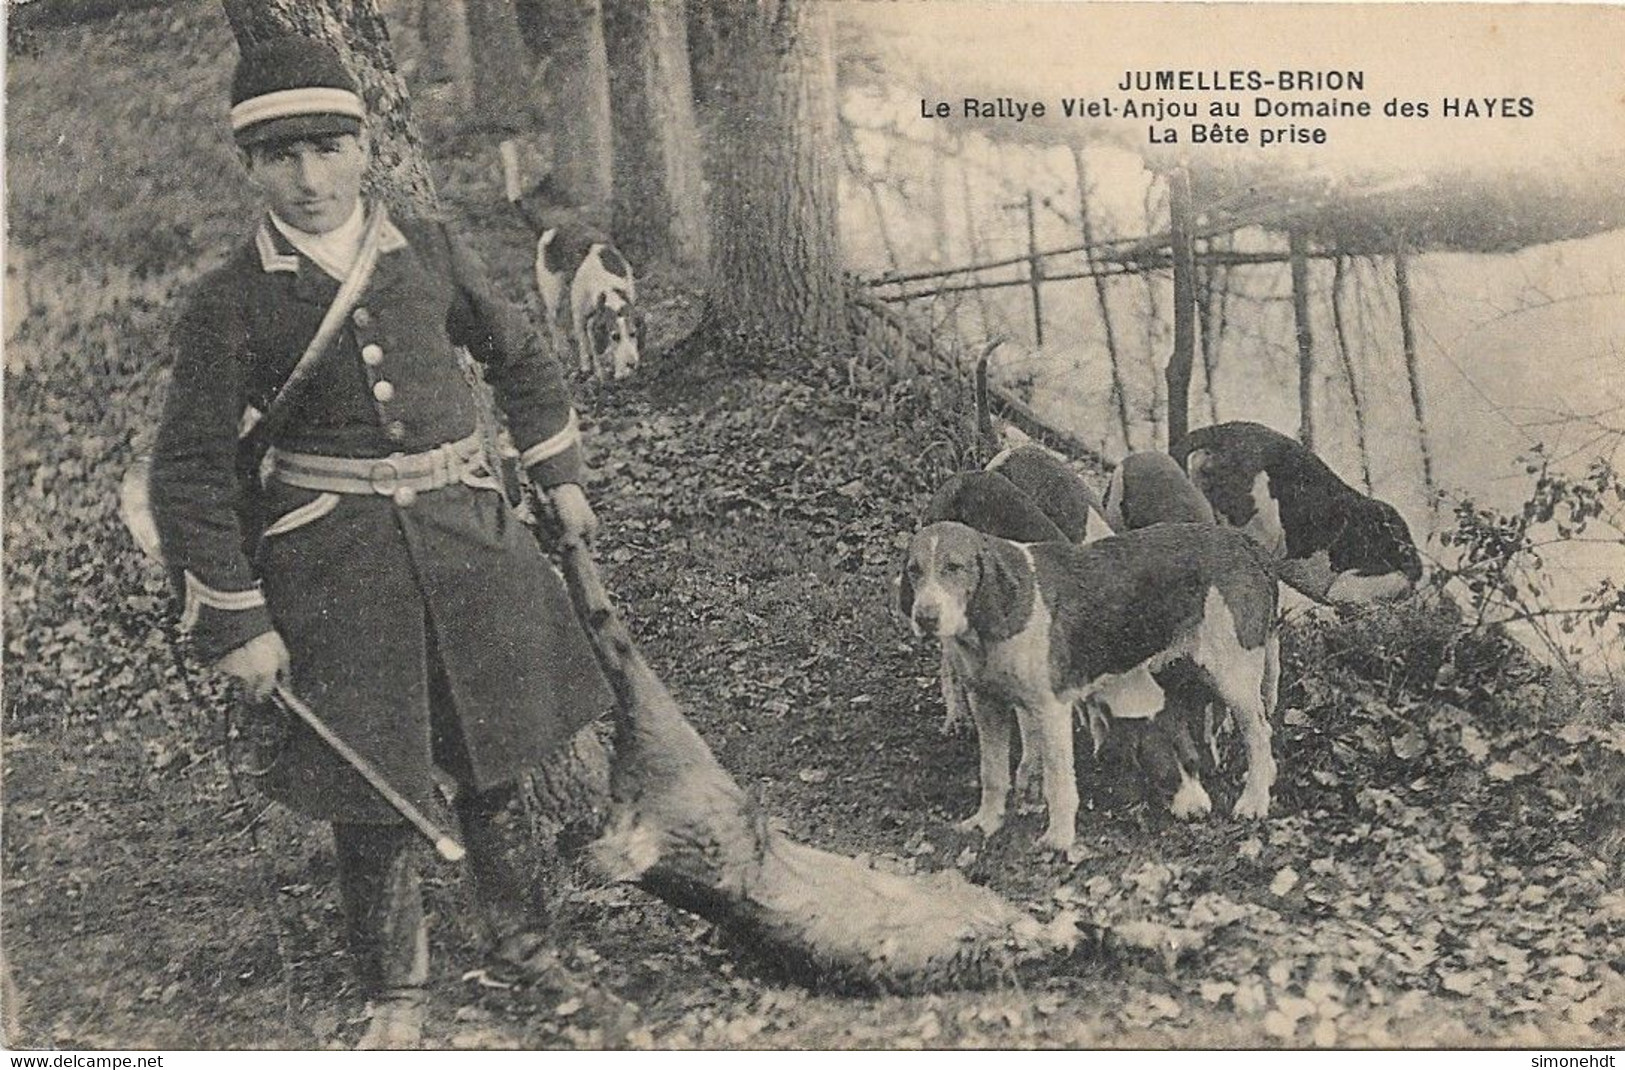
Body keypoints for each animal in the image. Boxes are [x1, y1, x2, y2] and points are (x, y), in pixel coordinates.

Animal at [536, 221, 643, 378]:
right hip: (554, 296)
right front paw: (587, 368)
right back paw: (561, 349)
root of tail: (553, 231)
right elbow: (584, 344)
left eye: (633, 333)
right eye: (615, 336)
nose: (632, 364)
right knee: (551, 319)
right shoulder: (579, 316)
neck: (607, 284)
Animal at [903, 520, 1280, 852]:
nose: (924, 618)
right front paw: (986, 822)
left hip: (1232, 676)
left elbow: (1058, 782)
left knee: (1260, 735)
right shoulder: (986, 704)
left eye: (954, 567)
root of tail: (1244, 542)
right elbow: (993, 773)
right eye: (913, 570)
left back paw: (1253, 801)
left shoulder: (1050, 710)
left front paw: (1058, 838)